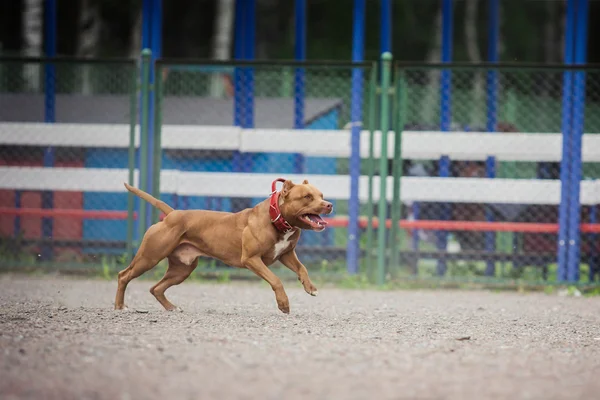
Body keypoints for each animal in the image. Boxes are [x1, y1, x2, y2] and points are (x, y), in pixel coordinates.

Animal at [113, 177, 332, 312]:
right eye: (307, 197)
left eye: (321, 195)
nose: (329, 204)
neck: (277, 218)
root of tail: (172, 214)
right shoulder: (251, 259)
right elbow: (276, 280)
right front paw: (284, 304)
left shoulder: (286, 254)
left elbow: (302, 268)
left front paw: (311, 287)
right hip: (149, 257)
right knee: (124, 276)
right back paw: (120, 307)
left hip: (182, 269)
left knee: (156, 288)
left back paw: (171, 308)